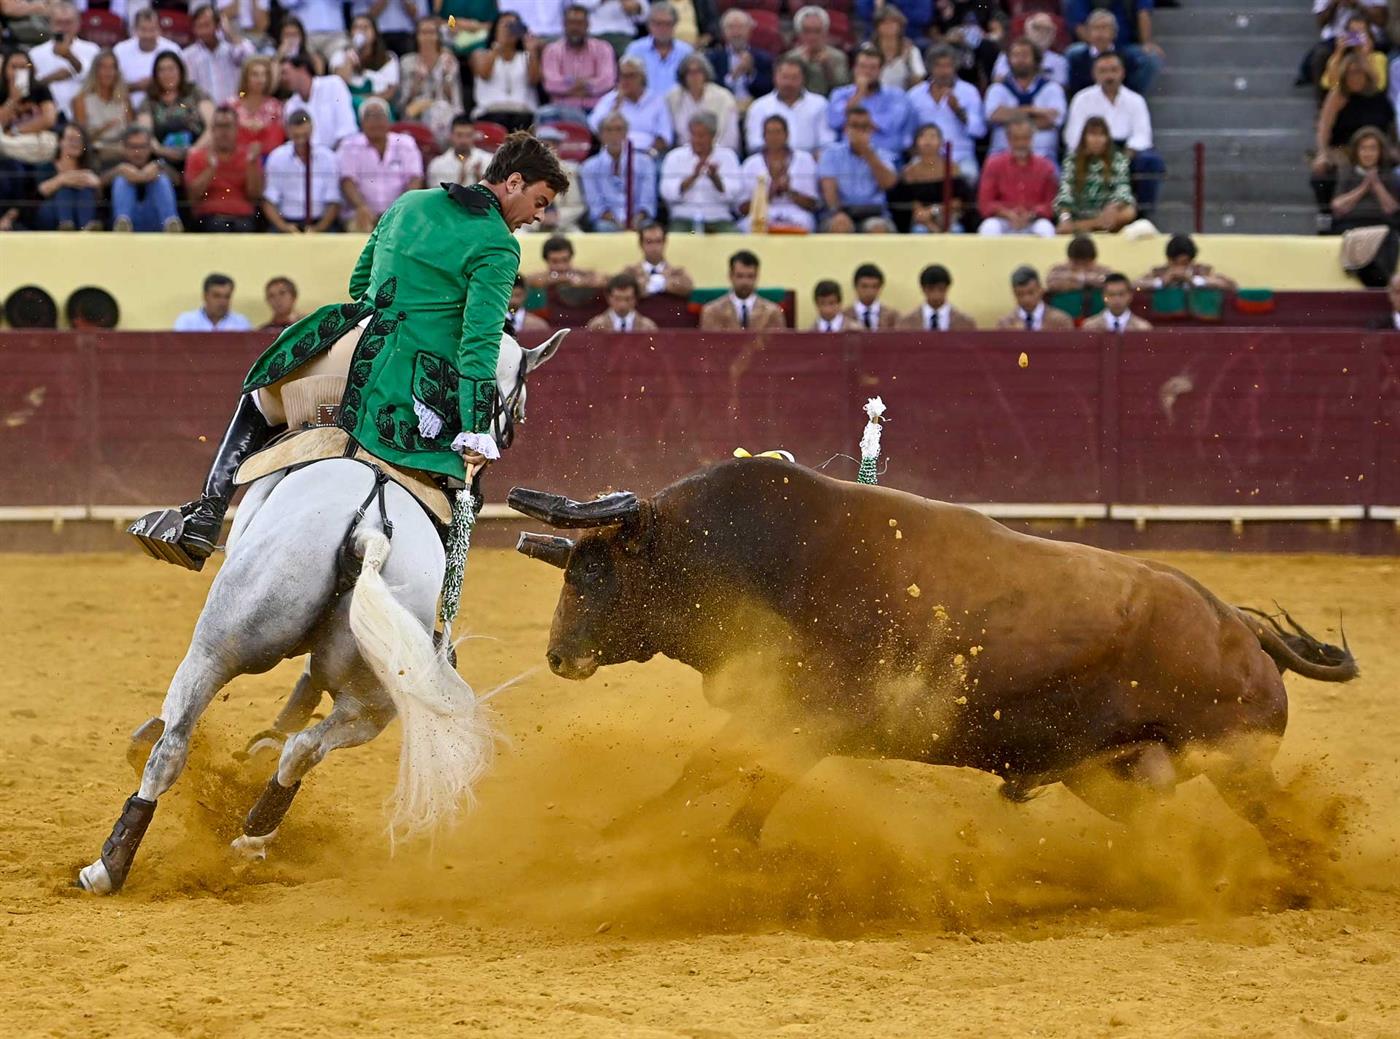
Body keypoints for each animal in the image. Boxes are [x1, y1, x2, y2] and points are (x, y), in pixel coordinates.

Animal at [78, 331, 562, 896]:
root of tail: (370, 529)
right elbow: (306, 690)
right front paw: (265, 742)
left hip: (219, 644)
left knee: (173, 742)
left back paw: (110, 862)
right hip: (375, 697)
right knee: (306, 747)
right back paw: (252, 835)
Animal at [512, 462, 1355, 862]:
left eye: (588, 575)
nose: (557, 656)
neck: (749, 557)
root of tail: (1239, 626)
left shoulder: (809, 717)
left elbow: (728, 772)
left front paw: (639, 835)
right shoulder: (783, 716)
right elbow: (724, 771)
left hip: (1235, 761)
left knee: (1285, 823)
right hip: (1111, 773)